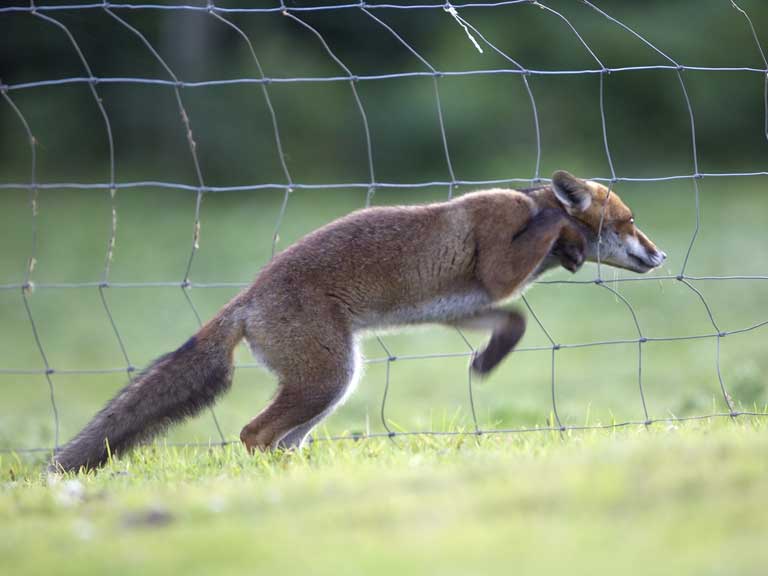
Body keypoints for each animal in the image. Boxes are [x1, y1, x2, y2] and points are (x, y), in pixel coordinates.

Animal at [50, 170, 666, 472]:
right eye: (629, 221)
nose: (660, 256)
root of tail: (246, 298)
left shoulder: (467, 305)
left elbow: (512, 323)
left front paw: (487, 361)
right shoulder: (496, 264)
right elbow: (548, 223)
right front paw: (564, 231)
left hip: (332, 383)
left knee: (281, 439)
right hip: (327, 378)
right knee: (254, 435)